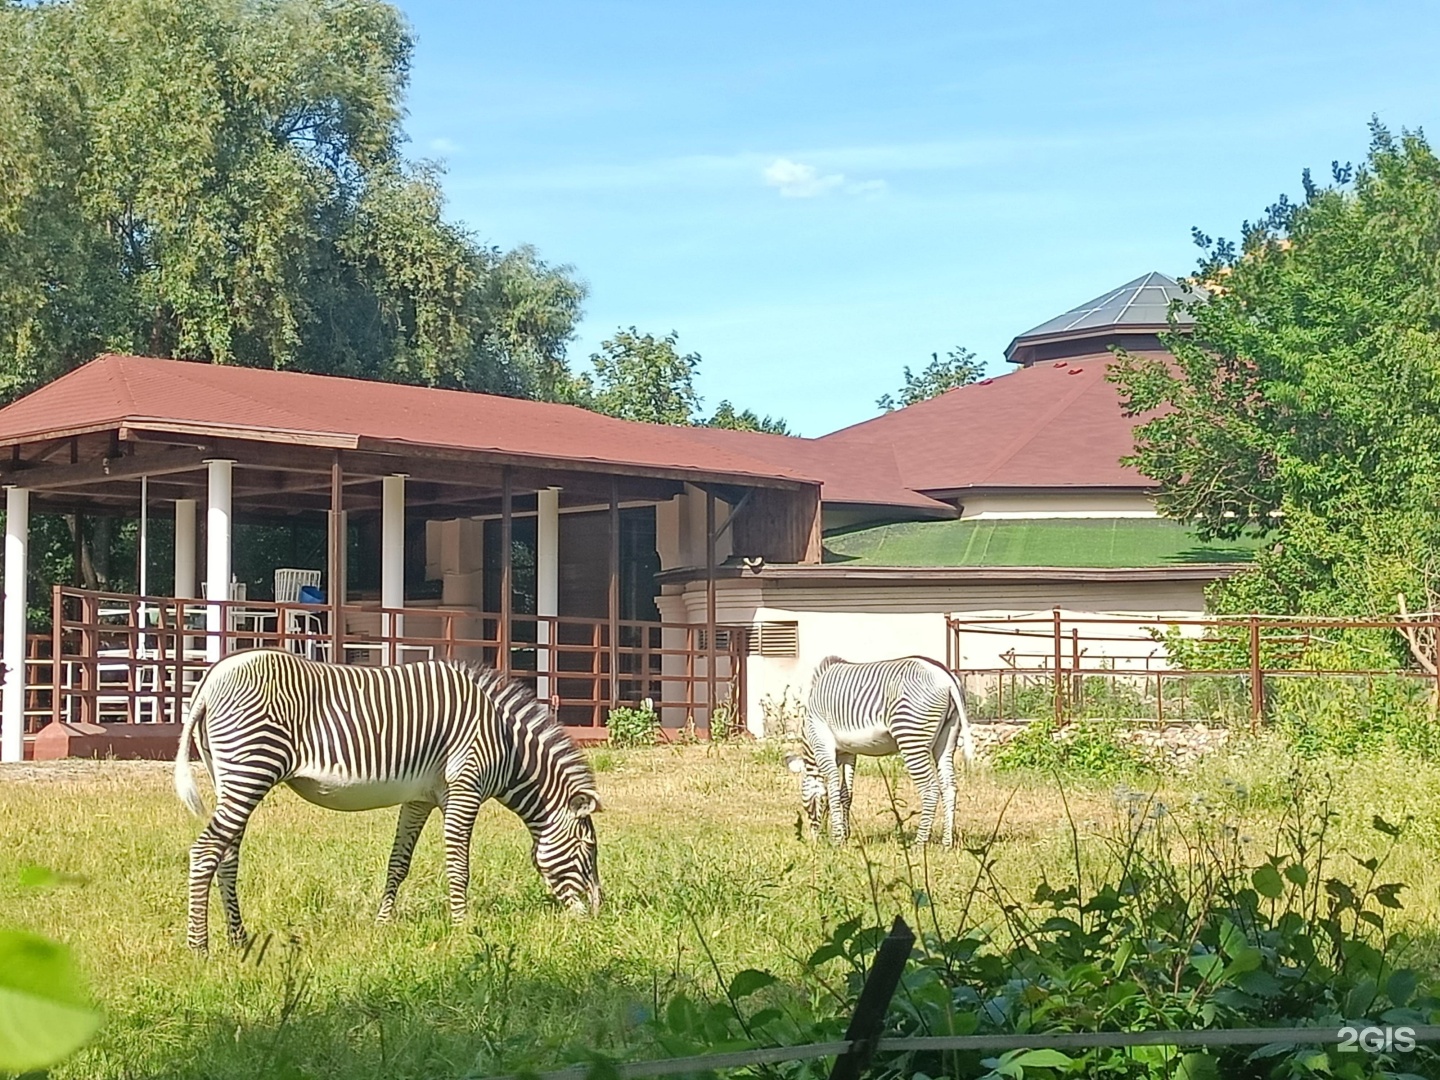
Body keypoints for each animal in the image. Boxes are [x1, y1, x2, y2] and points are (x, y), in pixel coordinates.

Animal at [175, 648, 601, 950]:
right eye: (588, 848)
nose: (598, 913)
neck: (506, 742)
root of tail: (212, 677)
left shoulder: (421, 798)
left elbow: (399, 863)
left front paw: (383, 924)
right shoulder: (465, 787)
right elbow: (459, 865)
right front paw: (463, 928)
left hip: (231, 777)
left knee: (227, 855)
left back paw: (238, 939)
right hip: (252, 768)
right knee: (206, 850)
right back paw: (200, 947)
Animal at [789, 656, 979, 852]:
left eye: (803, 800)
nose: (814, 842)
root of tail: (946, 676)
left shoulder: (822, 743)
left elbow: (832, 787)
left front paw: (838, 839)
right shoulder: (849, 752)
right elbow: (845, 793)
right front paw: (845, 834)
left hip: (911, 738)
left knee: (931, 790)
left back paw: (918, 845)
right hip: (947, 740)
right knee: (949, 788)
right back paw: (946, 844)